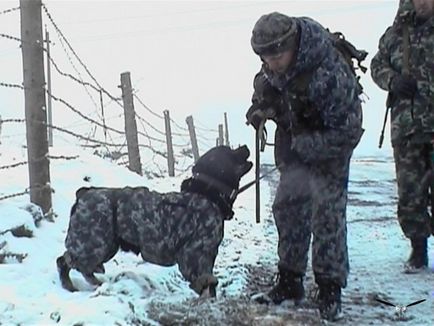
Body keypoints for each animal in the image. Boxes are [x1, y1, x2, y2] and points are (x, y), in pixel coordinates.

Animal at [57, 145, 254, 296]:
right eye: (229, 150)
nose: (245, 146)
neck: (207, 193)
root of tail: (84, 193)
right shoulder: (195, 254)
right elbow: (205, 281)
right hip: (94, 242)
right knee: (66, 261)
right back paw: (72, 285)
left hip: (107, 245)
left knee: (81, 265)